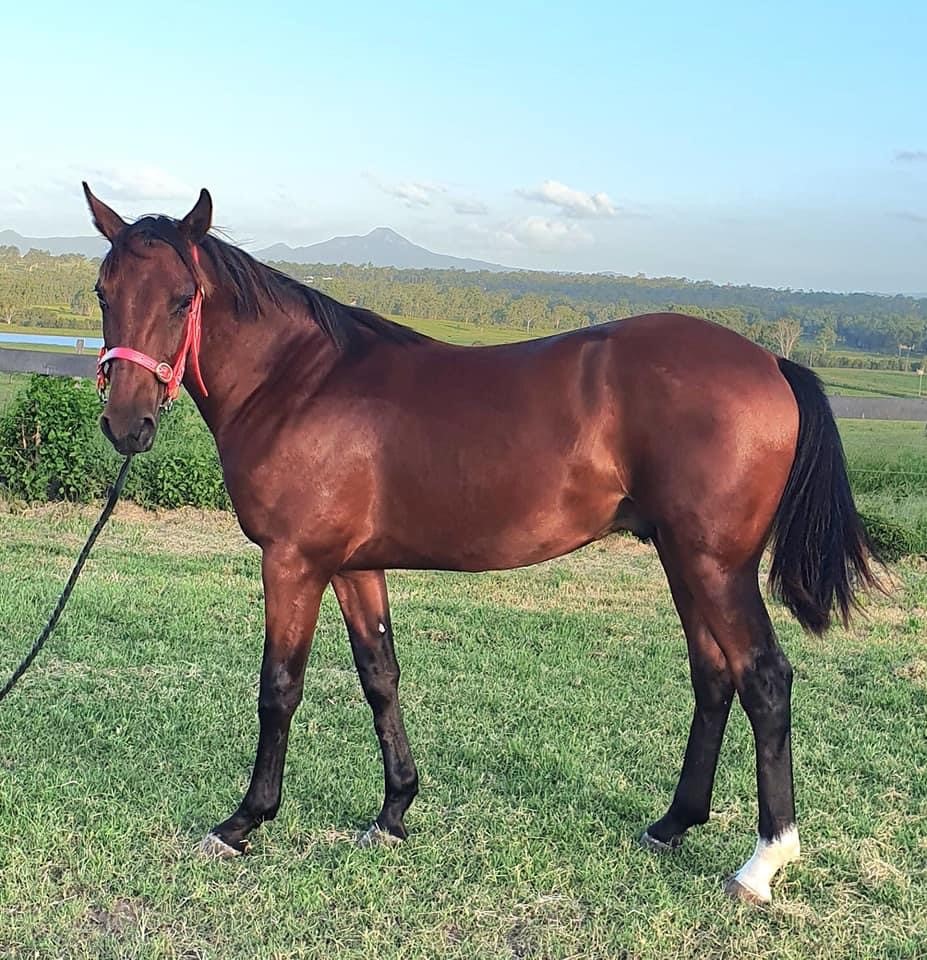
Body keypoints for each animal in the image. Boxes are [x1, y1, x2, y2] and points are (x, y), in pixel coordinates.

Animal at [82, 184, 878, 905]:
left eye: (182, 297)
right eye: (102, 292)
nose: (127, 424)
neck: (298, 382)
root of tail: (772, 364)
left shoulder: (293, 562)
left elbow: (279, 688)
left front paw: (244, 822)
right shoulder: (353, 566)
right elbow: (380, 675)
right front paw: (393, 811)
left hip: (716, 566)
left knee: (764, 680)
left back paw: (762, 864)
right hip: (682, 559)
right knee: (713, 678)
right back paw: (671, 825)